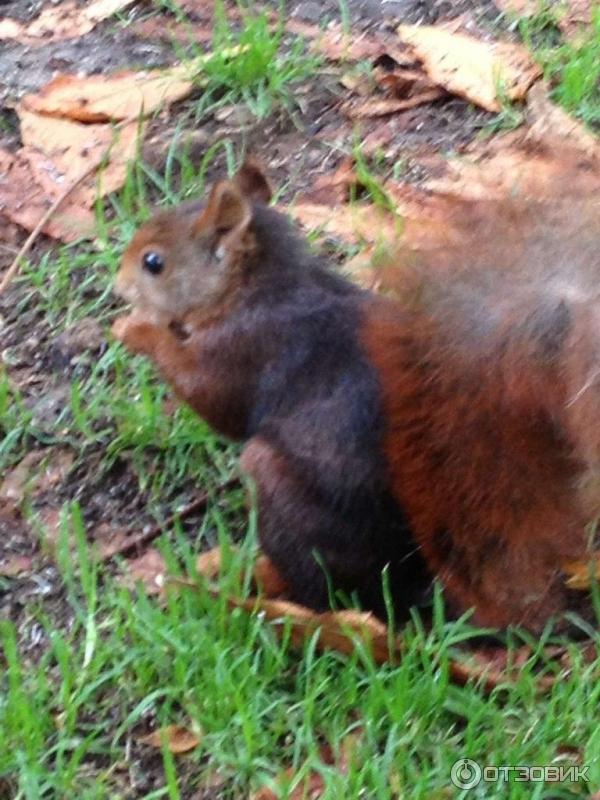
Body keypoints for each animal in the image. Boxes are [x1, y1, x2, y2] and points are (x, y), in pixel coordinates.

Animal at [112, 159, 600, 636]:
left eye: (154, 262)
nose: (118, 282)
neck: (259, 287)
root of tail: (424, 576)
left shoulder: (243, 348)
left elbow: (211, 397)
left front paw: (137, 329)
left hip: (284, 492)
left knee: (331, 591)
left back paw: (263, 579)